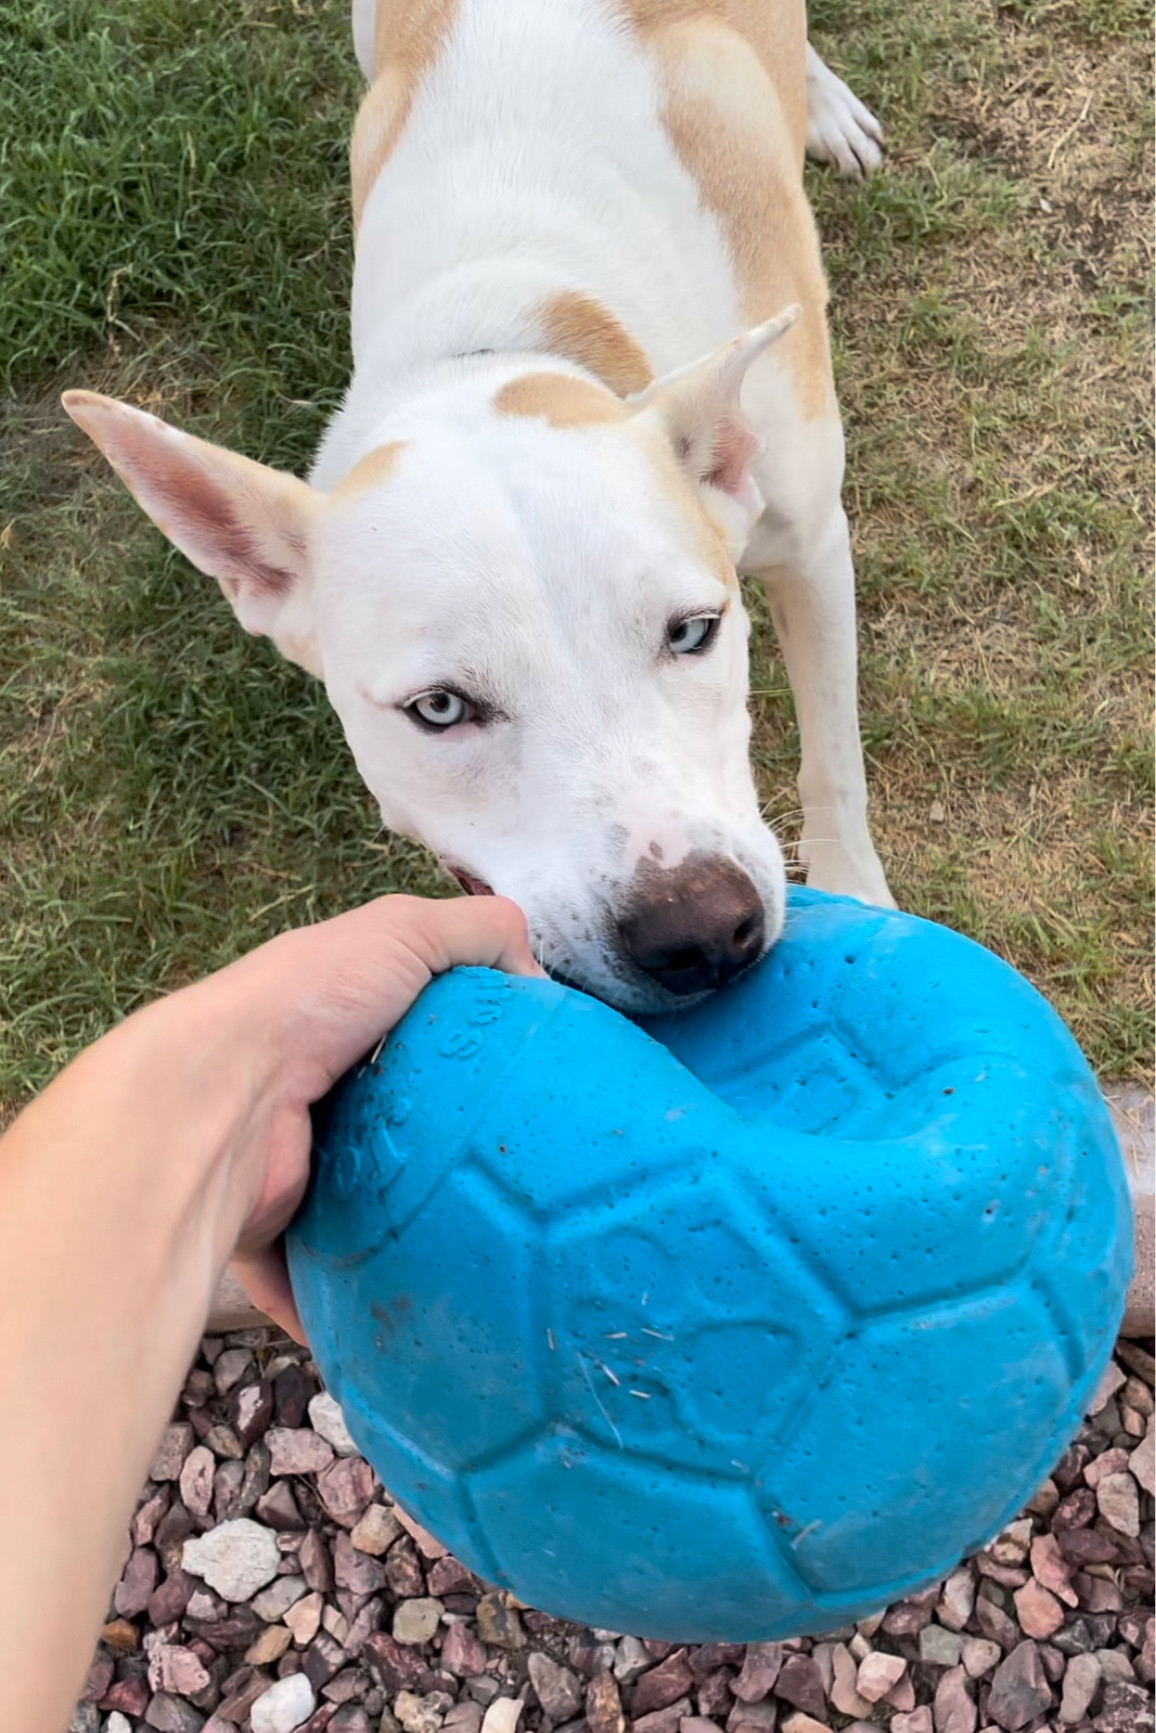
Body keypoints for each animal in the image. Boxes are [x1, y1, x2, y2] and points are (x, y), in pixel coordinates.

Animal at [63, 0, 894, 1012]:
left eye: (694, 631)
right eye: (440, 709)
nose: (699, 932)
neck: (506, 335)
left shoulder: (812, 545)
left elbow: (834, 759)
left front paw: (860, 890)